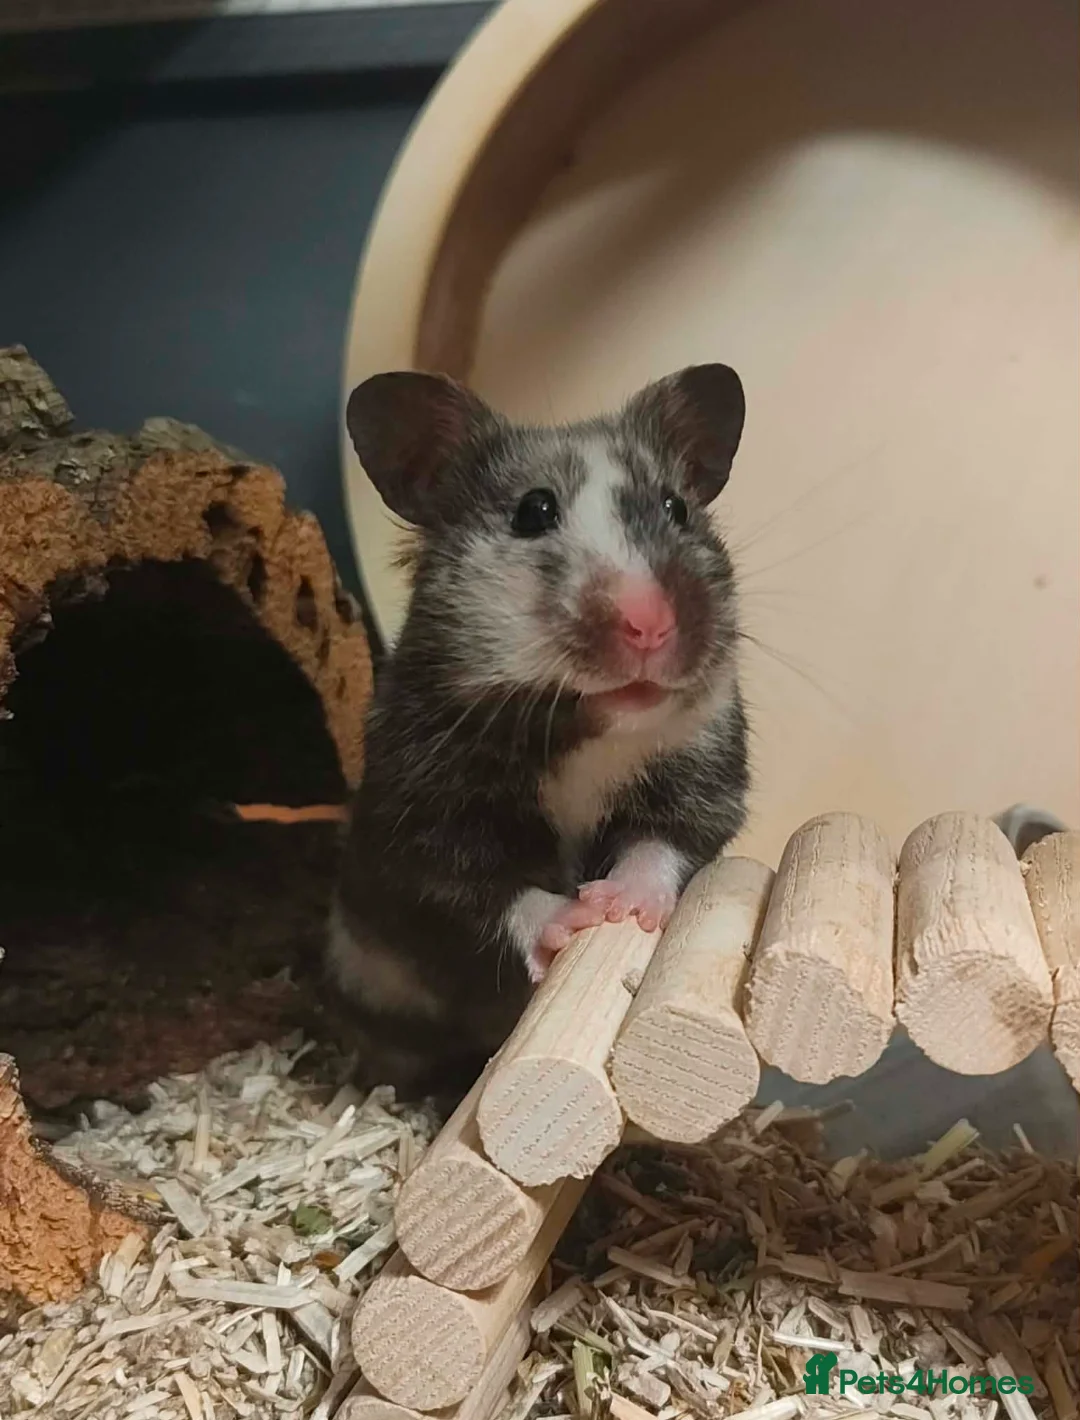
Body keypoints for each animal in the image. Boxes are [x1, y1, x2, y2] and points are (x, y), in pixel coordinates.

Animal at [329, 365, 751, 1104]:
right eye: (533, 511)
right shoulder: (425, 828)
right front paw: (575, 918)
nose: (651, 626)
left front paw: (620, 907)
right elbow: (496, 892)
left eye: (677, 508)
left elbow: (660, 844)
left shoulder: (706, 778)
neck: (585, 729)